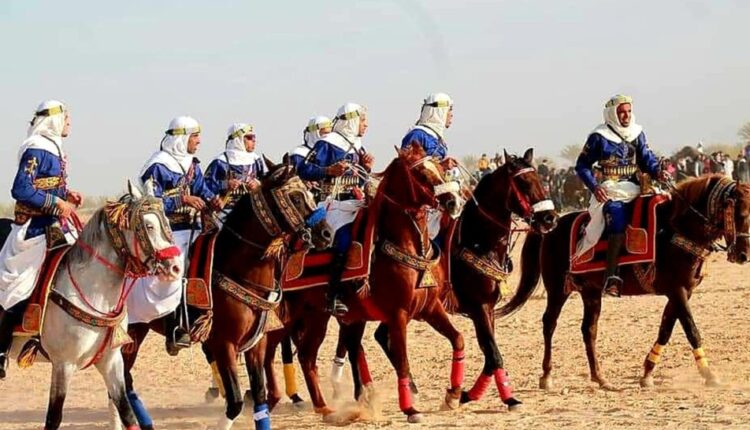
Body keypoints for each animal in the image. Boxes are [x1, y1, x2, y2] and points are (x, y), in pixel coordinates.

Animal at [3, 181, 182, 430]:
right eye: (148, 225)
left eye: (166, 222)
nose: (175, 267)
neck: (95, 294)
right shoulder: (63, 365)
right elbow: (53, 418)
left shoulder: (111, 362)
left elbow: (126, 412)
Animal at [118, 160, 333, 430]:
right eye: (295, 197)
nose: (326, 234)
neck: (235, 268)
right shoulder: (224, 345)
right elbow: (235, 402)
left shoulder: (256, 344)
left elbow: (260, 398)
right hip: (132, 332)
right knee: (123, 380)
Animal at [263, 143, 465, 423]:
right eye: (422, 174)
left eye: (439, 168)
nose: (454, 201)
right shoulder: (398, 315)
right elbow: (402, 360)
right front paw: (410, 409)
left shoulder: (430, 309)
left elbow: (458, 339)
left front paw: (453, 395)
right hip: (289, 316)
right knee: (269, 350)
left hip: (319, 316)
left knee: (306, 356)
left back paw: (324, 407)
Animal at [495, 175, 750, 391]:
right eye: (742, 215)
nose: (743, 255)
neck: (676, 228)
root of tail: (550, 226)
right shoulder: (677, 290)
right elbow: (691, 330)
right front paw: (708, 374)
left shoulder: (682, 292)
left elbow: (666, 329)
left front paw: (647, 373)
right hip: (558, 289)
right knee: (549, 323)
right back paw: (547, 376)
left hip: (590, 292)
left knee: (589, 329)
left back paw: (600, 377)